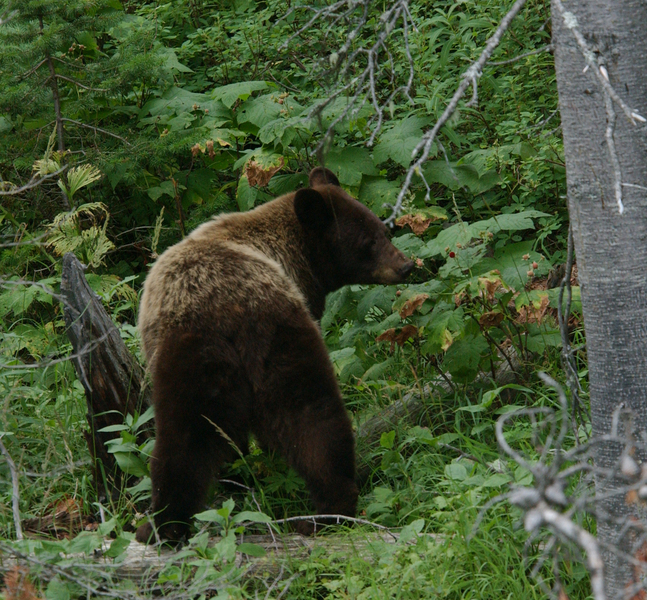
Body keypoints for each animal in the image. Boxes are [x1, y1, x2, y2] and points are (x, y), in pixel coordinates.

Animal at [137, 166, 416, 540]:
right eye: (368, 242)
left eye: (383, 231)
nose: (406, 266)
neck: (293, 255)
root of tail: (229, 313)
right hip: (268, 341)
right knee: (312, 417)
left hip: (205, 360)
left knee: (187, 440)